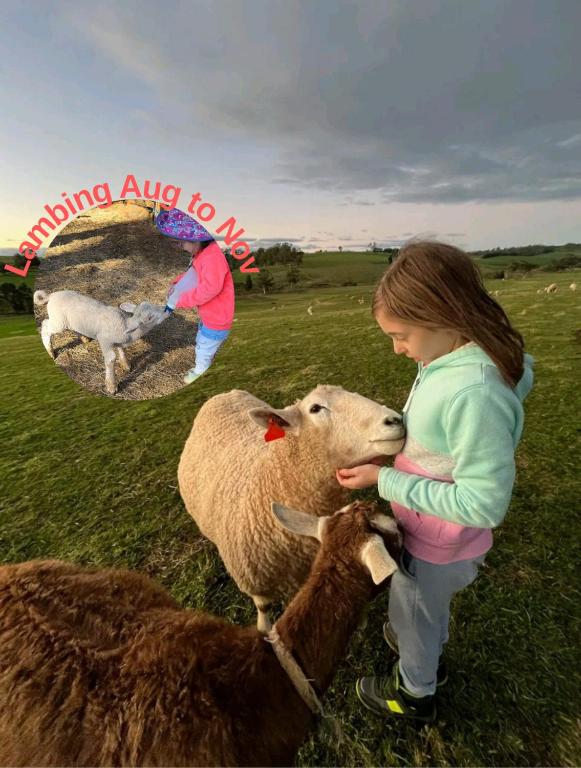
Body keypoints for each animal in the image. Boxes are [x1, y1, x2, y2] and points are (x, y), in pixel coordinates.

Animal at [34, 290, 168, 394]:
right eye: (149, 317)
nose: (167, 309)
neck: (125, 326)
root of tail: (51, 295)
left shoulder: (118, 340)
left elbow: (121, 349)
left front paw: (125, 364)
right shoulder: (105, 341)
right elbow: (111, 359)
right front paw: (111, 386)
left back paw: (84, 337)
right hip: (59, 321)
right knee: (45, 325)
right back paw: (50, 352)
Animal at [178, 385, 405, 632]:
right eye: (315, 408)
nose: (395, 420)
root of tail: (225, 393)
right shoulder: (256, 580)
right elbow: (264, 607)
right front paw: (264, 628)